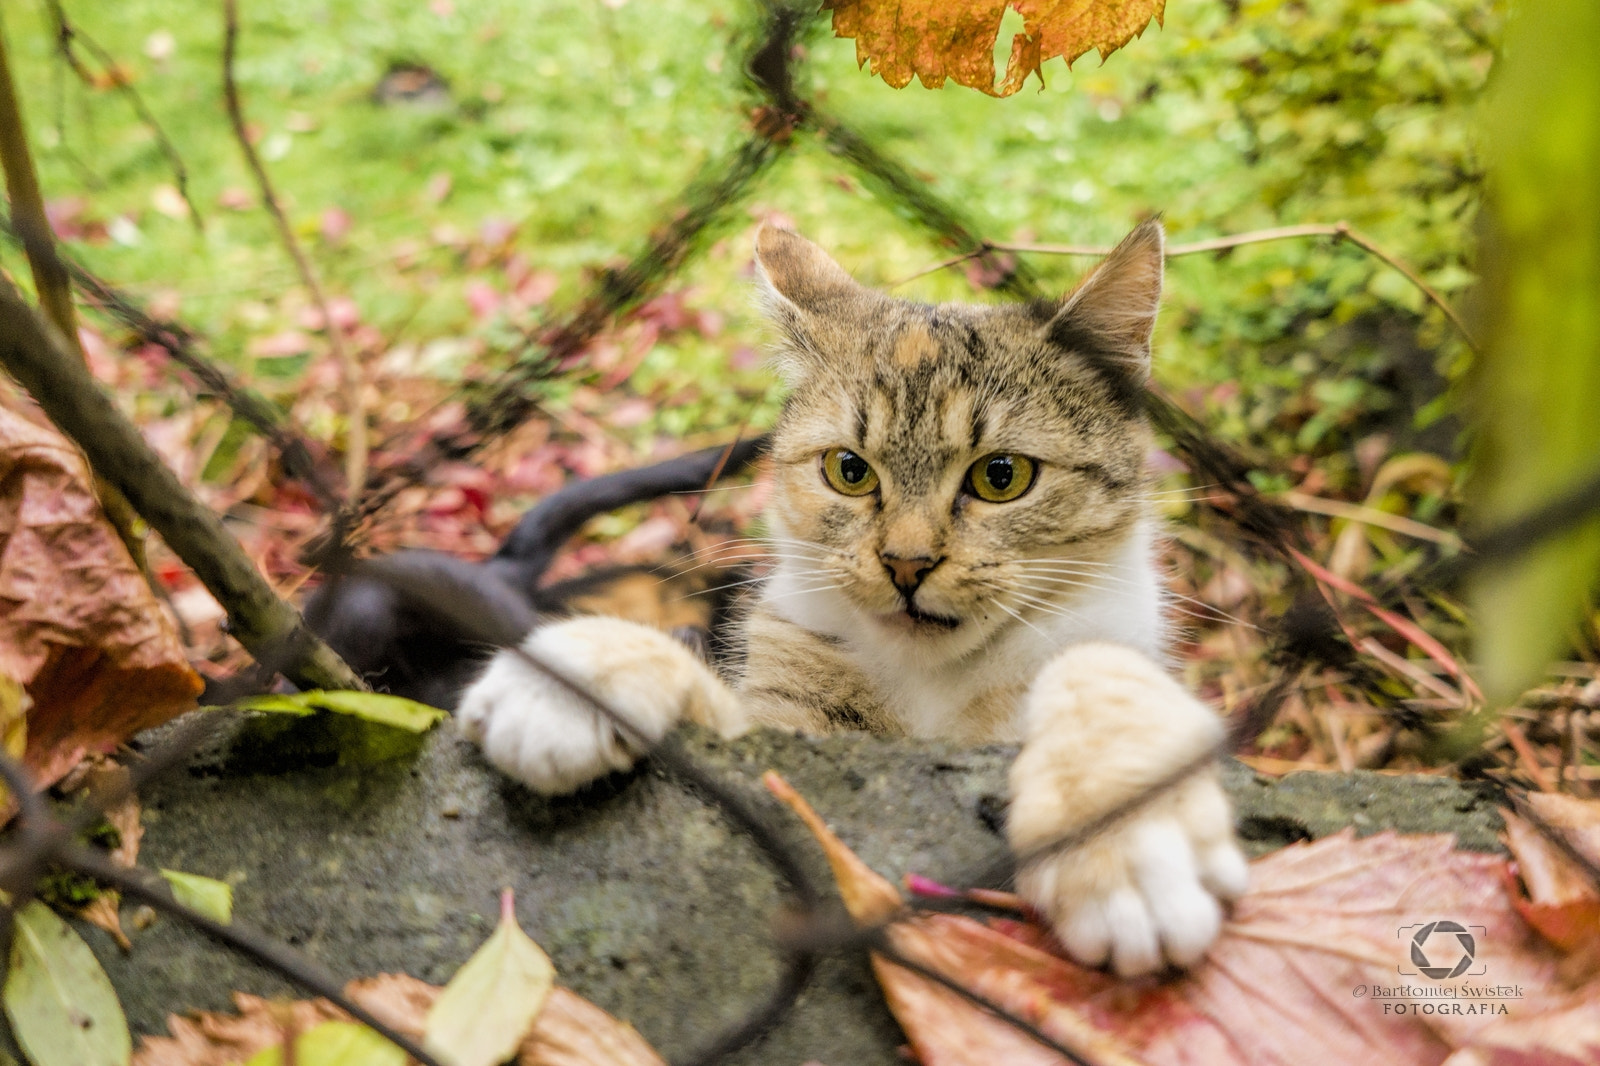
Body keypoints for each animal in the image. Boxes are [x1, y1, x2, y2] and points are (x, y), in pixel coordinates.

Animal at [457, 219, 1241, 973]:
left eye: (1003, 476)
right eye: (849, 470)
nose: (906, 563)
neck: (931, 684)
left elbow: (1097, 669)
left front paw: (1126, 839)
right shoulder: (783, 726)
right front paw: (574, 674)